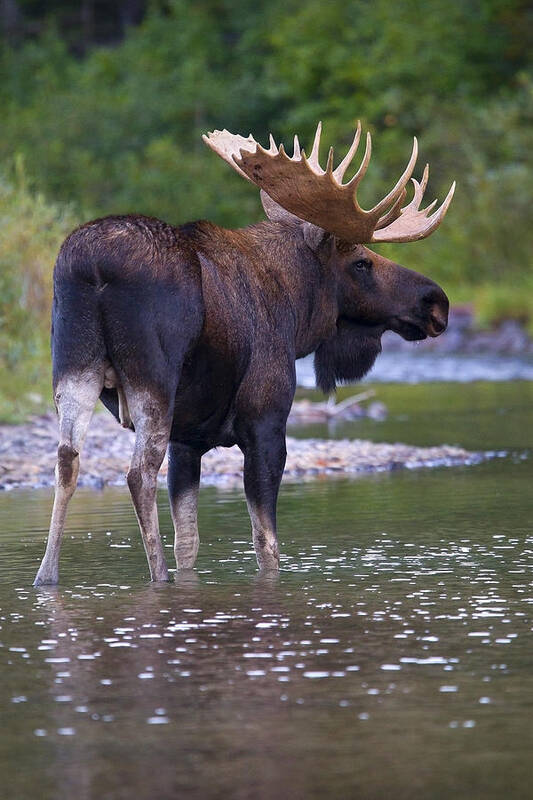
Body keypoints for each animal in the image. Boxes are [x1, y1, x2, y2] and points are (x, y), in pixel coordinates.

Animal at [34, 119, 454, 584]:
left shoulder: (188, 440)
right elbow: (266, 544)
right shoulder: (265, 421)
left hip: (73, 365)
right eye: (361, 262)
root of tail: (94, 268)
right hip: (153, 376)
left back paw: (46, 576)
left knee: (67, 461)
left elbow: (189, 542)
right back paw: (157, 577)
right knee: (138, 473)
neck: (296, 313)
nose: (435, 302)